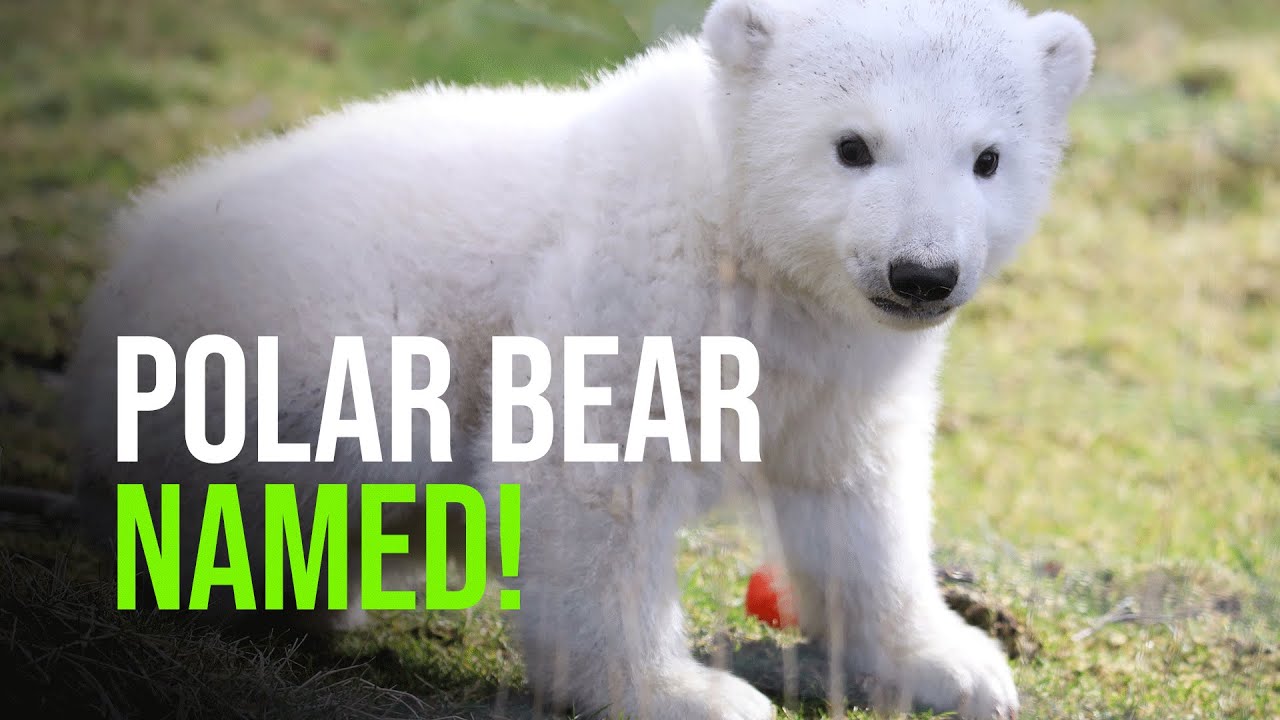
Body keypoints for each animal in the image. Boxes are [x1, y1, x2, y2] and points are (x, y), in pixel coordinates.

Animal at [67, 0, 1094, 718]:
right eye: (853, 145)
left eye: (988, 158)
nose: (921, 273)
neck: (742, 235)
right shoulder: (631, 281)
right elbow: (589, 472)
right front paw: (687, 693)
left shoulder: (840, 357)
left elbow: (854, 492)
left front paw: (955, 665)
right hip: (292, 334)